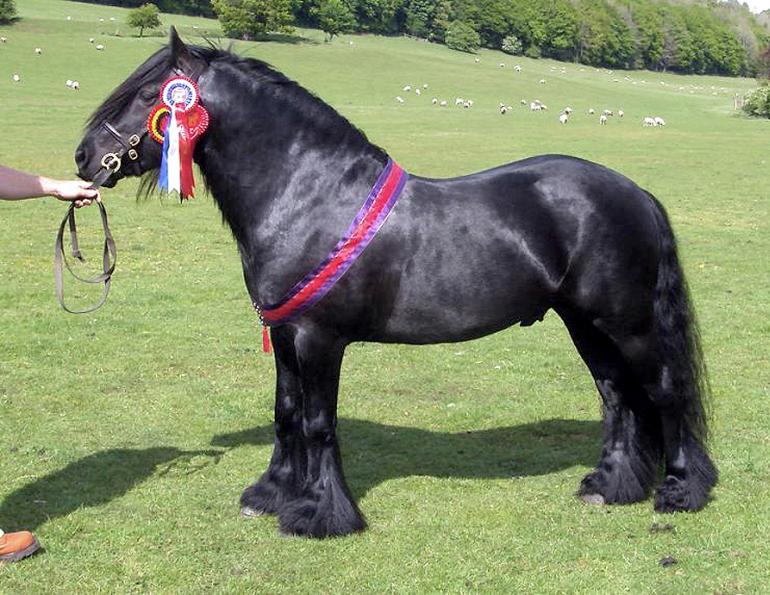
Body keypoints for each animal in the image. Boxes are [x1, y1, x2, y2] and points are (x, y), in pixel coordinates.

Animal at [74, 28, 717, 538]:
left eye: (144, 96)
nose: (83, 158)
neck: (309, 194)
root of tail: (634, 192)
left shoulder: (318, 339)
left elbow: (317, 423)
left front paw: (321, 516)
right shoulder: (283, 335)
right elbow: (286, 413)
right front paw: (272, 495)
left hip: (627, 324)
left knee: (663, 392)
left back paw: (680, 491)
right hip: (586, 324)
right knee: (618, 397)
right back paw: (609, 487)